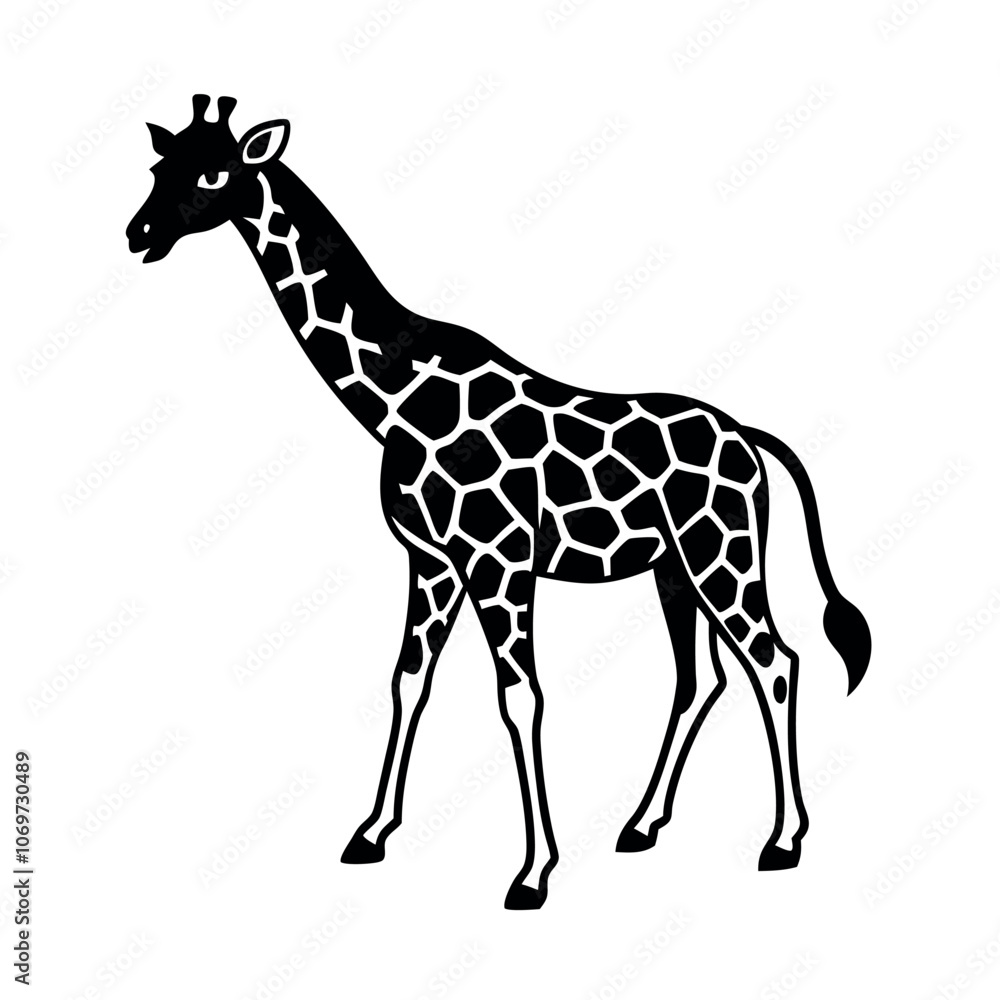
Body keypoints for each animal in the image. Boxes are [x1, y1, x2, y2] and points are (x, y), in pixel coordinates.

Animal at [126, 96, 872, 909]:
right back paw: (641, 825)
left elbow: (521, 698)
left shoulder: (500, 561)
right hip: (673, 568)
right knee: (701, 677)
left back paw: (783, 841)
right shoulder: (432, 562)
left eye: (213, 173)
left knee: (776, 662)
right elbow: (408, 681)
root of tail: (748, 438)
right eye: (158, 164)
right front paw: (371, 834)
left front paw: (534, 872)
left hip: (721, 556)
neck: (397, 400)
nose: (139, 234)